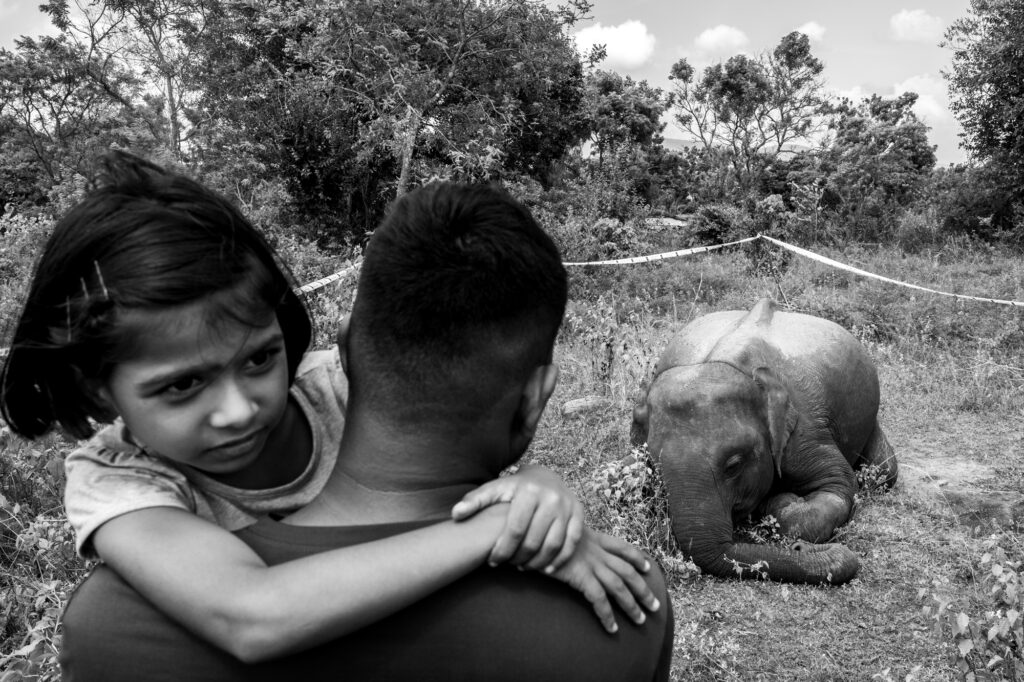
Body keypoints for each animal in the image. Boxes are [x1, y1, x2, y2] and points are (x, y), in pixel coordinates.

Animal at [631, 298, 896, 584]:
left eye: (734, 465)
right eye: (653, 468)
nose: (799, 548)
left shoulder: (806, 430)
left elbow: (840, 485)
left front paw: (778, 500)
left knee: (886, 470)